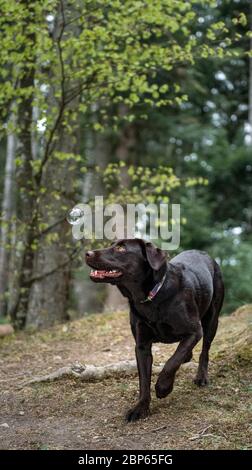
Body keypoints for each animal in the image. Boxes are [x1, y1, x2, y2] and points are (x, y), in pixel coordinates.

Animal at [86, 241, 224, 420]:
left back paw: (201, 377)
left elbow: (172, 361)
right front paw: (140, 408)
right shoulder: (142, 346)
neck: (150, 298)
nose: (87, 253)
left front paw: (163, 387)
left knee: (205, 350)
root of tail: (203, 253)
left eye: (121, 248)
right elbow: (144, 380)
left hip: (211, 320)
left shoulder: (194, 331)